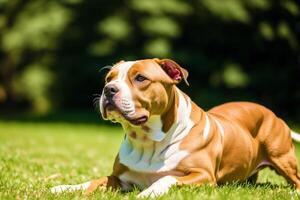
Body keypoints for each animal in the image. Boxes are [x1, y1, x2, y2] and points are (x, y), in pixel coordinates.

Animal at [51, 58, 300, 198]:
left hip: (283, 158)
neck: (146, 141)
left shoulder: (203, 175)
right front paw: (64, 188)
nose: (109, 90)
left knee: (295, 178)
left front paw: (148, 192)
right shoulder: (118, 179)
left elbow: (167, 178)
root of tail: (271, 112)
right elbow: (93, 181)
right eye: (108, 78)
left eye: (140, 78)